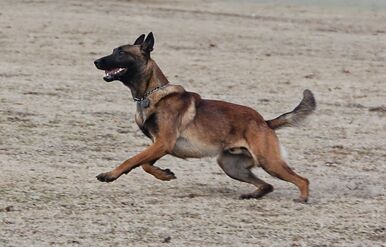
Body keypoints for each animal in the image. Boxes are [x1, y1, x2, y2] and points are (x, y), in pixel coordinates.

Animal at [94, 32, 316, 203]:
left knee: (302, 179)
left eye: (121, 52)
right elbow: (145, 164)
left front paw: (110, 175)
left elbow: (132, 160)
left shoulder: (163, 142)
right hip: (232, 167)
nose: (96, 61)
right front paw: (164, 174)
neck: (150, 94)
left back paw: (302, 197)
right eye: (114, 50)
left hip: (268, 161)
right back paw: (254, 195)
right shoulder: (160, 144)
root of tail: (265, 122)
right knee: (268, 185)